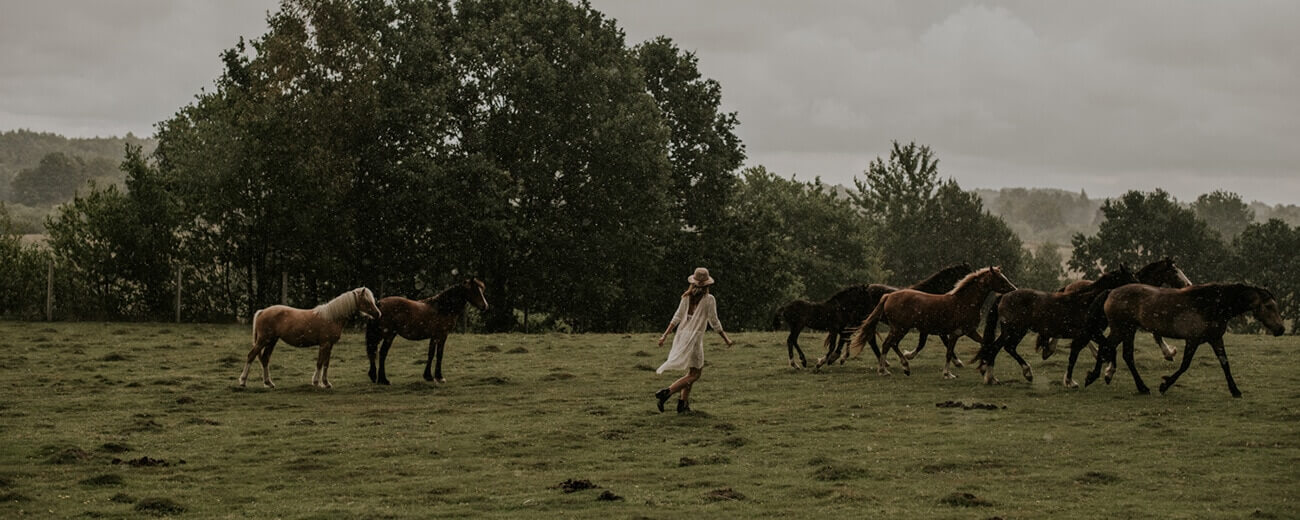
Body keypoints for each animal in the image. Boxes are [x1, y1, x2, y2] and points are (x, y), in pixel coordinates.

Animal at [239, 288, 379, 390]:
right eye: (367, 301)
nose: (378, 314)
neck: (332, 317)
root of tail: (263, 311)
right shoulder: (324, 344)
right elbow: (320, 363)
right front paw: (316, 382)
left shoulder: (330, 345)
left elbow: (326, 363)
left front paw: (326, 383)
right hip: (263, 340)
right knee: (251, 356)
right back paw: (243, 382)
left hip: (271, 341)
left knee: (265, 359)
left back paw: (269, 383)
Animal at [847, 267, 1019, 377]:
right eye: (1000, 278)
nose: (1014, 290)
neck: (964, 302)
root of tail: (888, 296)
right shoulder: (956, 333)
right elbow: (949, 352)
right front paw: (948, 373)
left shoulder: (967, 331)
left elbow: (984, 343)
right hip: (899, 328)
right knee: (886, 344)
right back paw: (885, 370)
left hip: (900, 329)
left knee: (891, 344)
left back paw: (904, 367)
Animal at [967, 266, 1138, 384]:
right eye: (1130, 277)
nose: (1139, 288)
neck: (1088, 302)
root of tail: (1003, 296)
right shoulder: (1091, 333)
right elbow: (1101, 349)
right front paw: (1076, 380)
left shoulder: (1087, 335)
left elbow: (1090, 351)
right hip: (1013, 330)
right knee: (999, 347)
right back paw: (1002, 376)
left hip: (1016, 331)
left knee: (1004, 348)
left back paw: (1001, 375)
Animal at [1081, 282, 1284, 395]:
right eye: (1268, 306)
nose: (1281, 329)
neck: (1212, 304)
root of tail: (1111, 291)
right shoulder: (1192, 340)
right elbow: (1185, 365)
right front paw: (1164, 385)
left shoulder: (1216, 339)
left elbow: (1225, 364)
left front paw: (1235, 390)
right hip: (1121, 329)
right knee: (1107, 348)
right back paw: (1094, 377)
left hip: (1128, 331)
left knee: (1126, 355)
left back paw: (1141, 387)